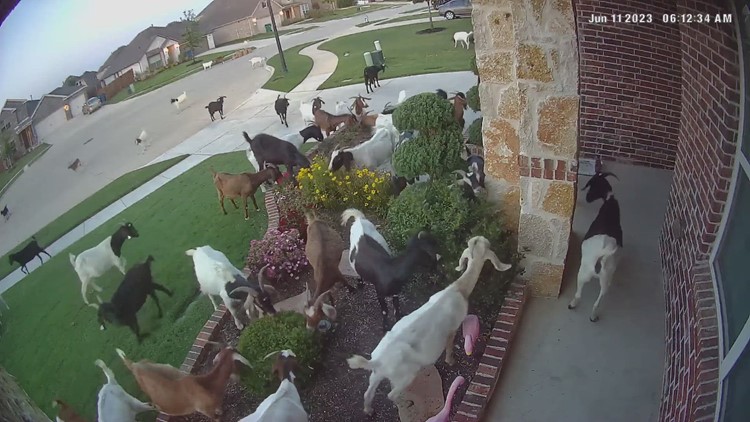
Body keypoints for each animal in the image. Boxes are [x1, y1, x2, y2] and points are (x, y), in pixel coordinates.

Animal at [116, 343, 251, 420]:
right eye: (237, 364)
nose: (241, 378)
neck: (207, 385)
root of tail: (134, 365)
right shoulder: (206, 411)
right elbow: (218, 418)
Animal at [347, 236, 511, 414]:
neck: (458, 289)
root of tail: (377, 361)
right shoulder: (453, 328)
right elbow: (450, 345)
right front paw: (450, 361)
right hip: (404, 376)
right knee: (391, 394)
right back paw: (405, 403)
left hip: (376, 375)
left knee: (368, 393)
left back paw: (369, 410)